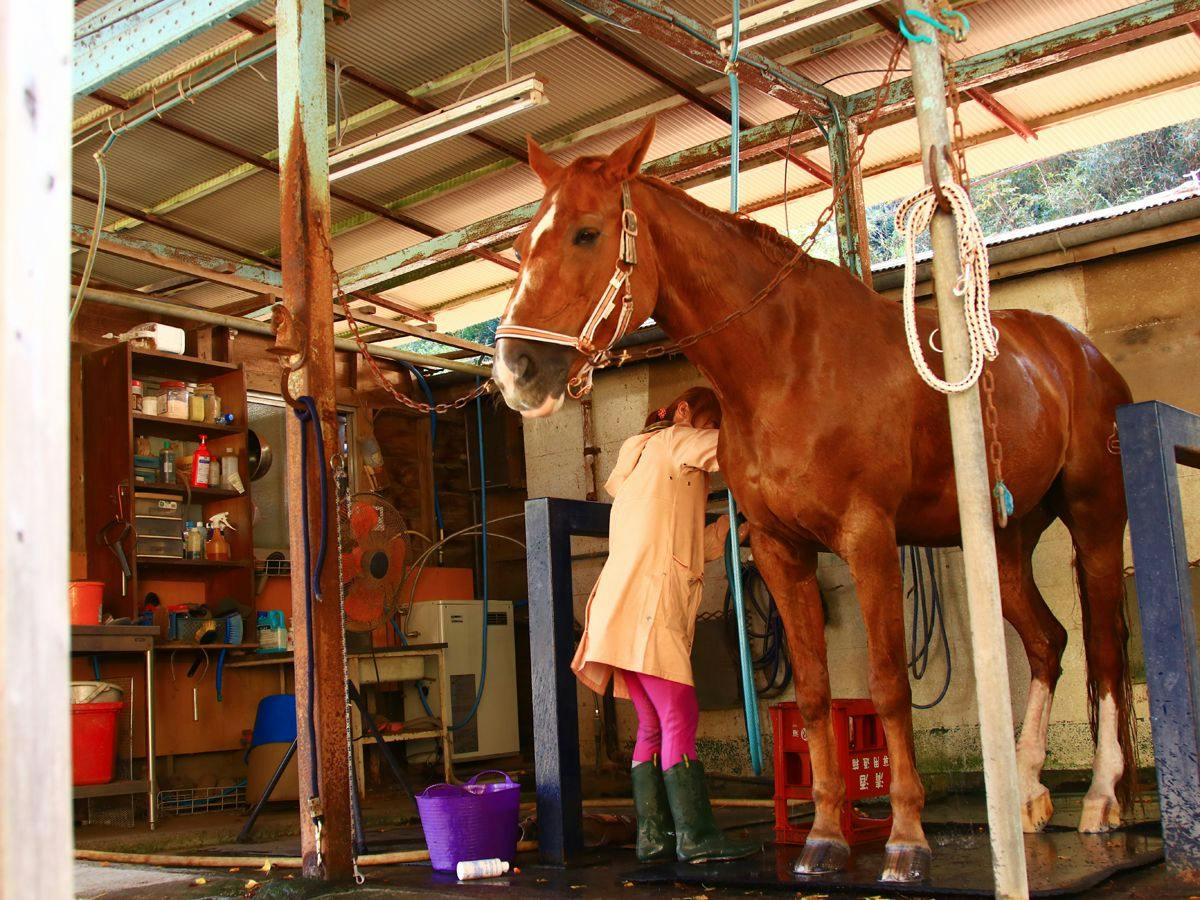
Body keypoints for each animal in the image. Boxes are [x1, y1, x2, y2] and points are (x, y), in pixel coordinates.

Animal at [492, 119, 1135, 882]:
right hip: (1005, 539)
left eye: (586, 234)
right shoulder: (780, 549)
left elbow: (888, 688)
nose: (515, 372)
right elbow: (816, 695)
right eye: (521, 244)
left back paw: (1099, 801)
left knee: (1104, 652)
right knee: (1048, 642)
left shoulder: (869, 538)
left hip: (1096, 519)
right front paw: (824, 837)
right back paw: (1030, 791)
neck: (787, 365)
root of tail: (1080, 352)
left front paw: (906, 842)